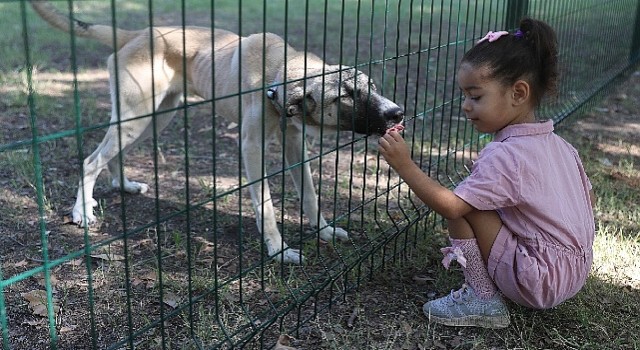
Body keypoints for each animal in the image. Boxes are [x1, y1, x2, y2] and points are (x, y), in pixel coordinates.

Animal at [31, 0, 404, 262]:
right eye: (346, 95)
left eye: (371, 86)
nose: (397, 113)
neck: (279, 73)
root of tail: (137, 34)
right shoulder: (251, 147)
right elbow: (266, 205)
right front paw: (278, 250)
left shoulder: (294, 143)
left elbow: (310, 194)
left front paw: (324, 231)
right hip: (136, 117)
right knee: (90, 161)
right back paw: (82, 212)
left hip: (155, 118)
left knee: (111, 156)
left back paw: (123, 185)